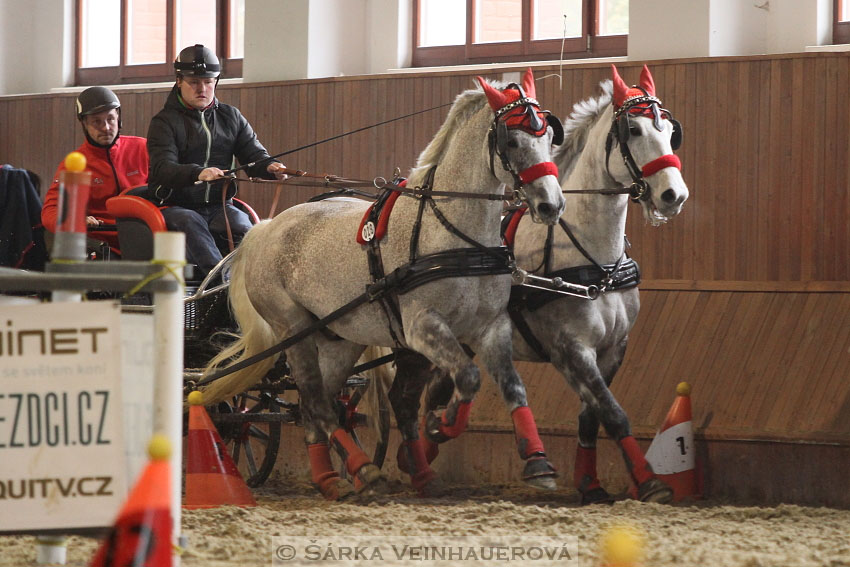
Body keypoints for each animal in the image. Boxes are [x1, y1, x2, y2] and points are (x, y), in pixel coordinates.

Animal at [202, 69, 568, 500]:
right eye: (511, 141)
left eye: (549, 136)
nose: (551, 205)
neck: (453, 234)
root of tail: (267, 228)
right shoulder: (423, 327)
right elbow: (468, 378)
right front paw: (440, 426)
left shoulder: (491, 326)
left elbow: (511, 386)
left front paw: (538, 463)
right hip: (293, 329)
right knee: (316, 401)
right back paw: (358, 470)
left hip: (338, 338)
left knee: (317, 404)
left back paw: (333, 477)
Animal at [384, 64, 688, 504]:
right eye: (632, 130)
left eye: (670, 131)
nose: (673, 195)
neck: (592, 258)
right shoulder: (571, 349)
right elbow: (612, 411)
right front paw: (648, 481)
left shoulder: (614, 348)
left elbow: (591, 416)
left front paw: (590, 483)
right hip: (413, 341)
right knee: (406, 399)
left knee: (434, 392)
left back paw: (424, 450)